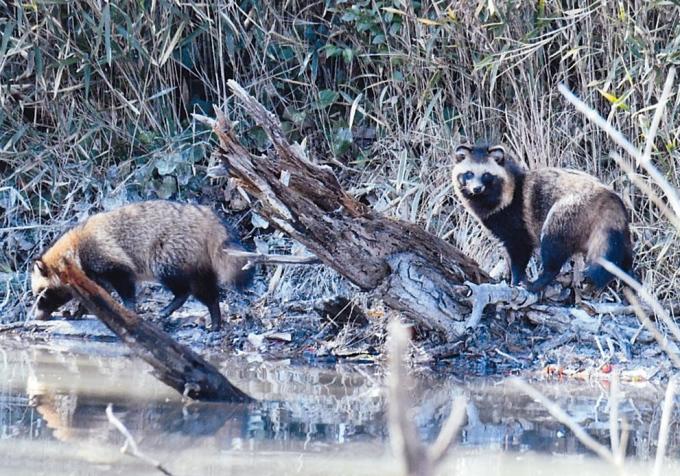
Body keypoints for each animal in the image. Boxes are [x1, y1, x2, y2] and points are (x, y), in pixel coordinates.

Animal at [29, 201, 252, 330]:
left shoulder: (103, 254)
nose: (37, 317)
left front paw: (129, 309)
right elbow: (98, 290)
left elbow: (124, 282)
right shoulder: (89, 273)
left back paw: (198, 307)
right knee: (203, 286)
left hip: (171, 252)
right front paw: (81, 309)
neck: (72, 249)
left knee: (188, 286)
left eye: (42, 294)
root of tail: (205, 217)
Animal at [452, 143, 632, 292]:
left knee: (553, 247)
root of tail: (608, 196)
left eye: (486, 175)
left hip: (567, 212)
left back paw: (540, 281)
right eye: (469, 174)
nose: (476, 188)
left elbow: (519, 252)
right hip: (616, 231)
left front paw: (515, 281)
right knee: (623, 257)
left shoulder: (516, 221)